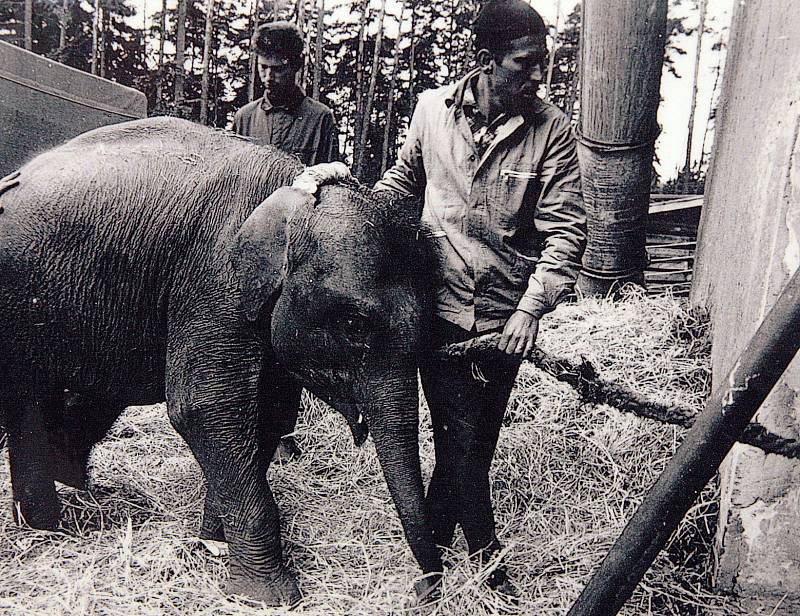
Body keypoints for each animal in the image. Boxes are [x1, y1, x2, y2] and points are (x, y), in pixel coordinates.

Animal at [0, 116, 444, 608]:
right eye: (354, 324)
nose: (424, 591)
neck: (286, 195)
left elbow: (268, 413)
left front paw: (212, 542)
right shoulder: (213, 278)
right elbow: (207, 408)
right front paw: (268, 596)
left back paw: (55, 508)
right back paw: (48, 526)